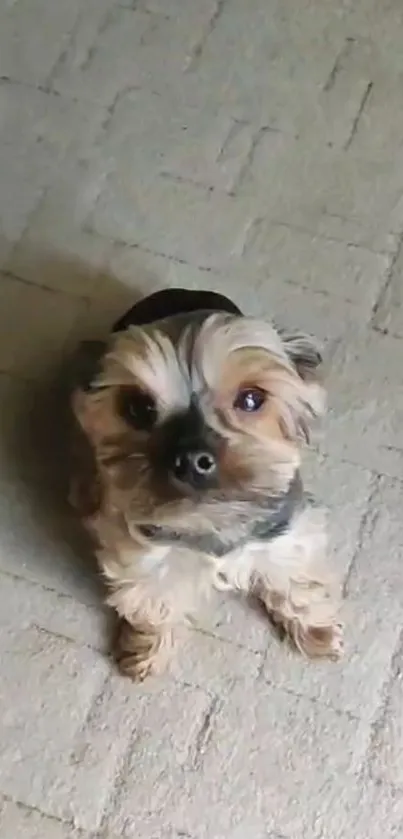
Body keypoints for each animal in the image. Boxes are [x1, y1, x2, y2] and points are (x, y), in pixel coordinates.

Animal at [69, 288, 344, 684]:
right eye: (138, 407)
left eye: (251, 399)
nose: (191, 460)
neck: (212, 521)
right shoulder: (145, 551)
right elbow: (155, 599)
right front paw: (148, 651)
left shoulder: (283, 531)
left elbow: (295, 581)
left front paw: (316, 631)